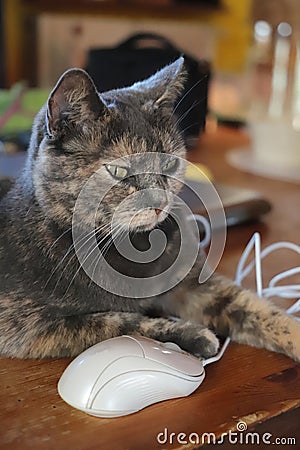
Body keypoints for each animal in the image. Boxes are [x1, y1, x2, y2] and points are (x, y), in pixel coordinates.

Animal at [0, 56, 300, 360]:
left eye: (169, 163)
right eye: (119, 171)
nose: (159, 203)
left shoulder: (194, 283)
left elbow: (255, 307)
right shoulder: (27, 327)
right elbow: (121, 322)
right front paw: (194, 335)